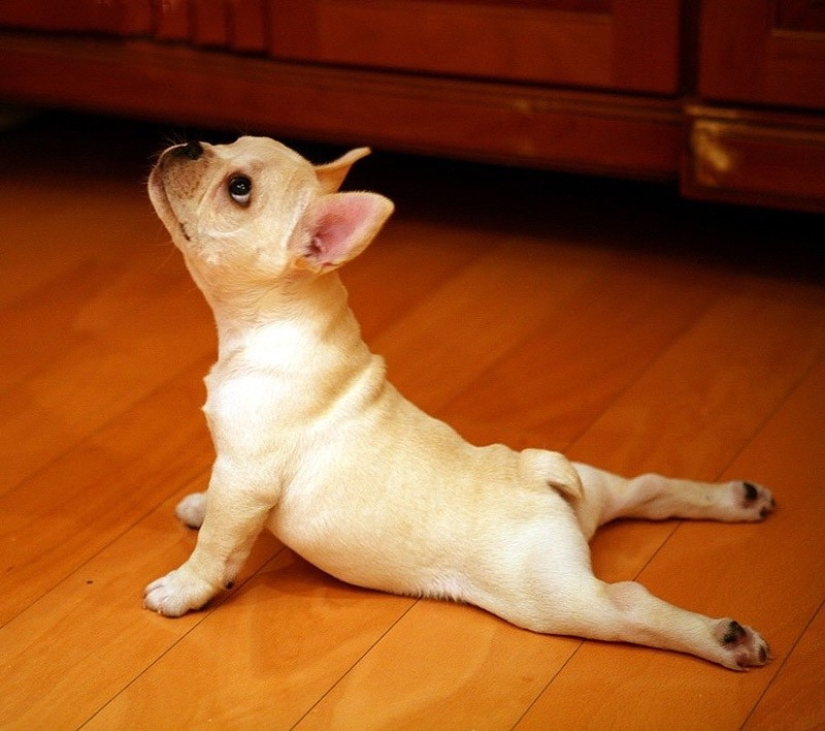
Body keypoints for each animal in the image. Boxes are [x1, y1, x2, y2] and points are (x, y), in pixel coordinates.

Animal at [146, 136, 772, 668]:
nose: (189, 143)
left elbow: (218, 544)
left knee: (628, 607)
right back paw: (737, 500)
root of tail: (538, 479)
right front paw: (199, 504)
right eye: (226, 144)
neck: (279, 319)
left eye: (240, 189)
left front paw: (182, 587)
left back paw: (724, 639)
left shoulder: (246, 476)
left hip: (555, 597)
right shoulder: (234, 471)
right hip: (595, 488)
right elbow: (218, 509)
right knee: (648, 488)